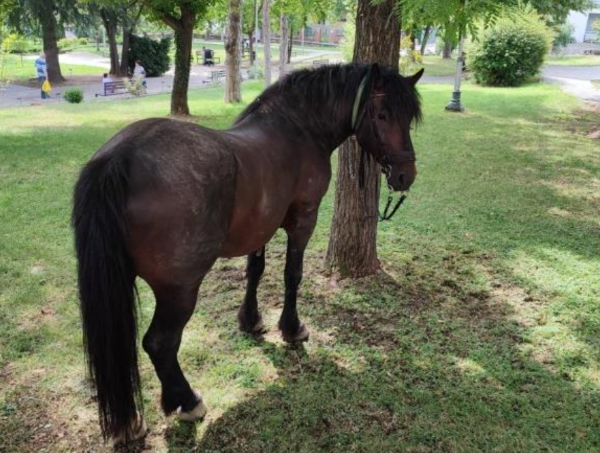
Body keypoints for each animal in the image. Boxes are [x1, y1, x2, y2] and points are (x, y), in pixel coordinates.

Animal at [72, 61, 424, 442]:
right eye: (383, 114)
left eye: (408, 118)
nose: (405, 175)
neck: (298, 128)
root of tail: (119, 158)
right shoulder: (303, 219)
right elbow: (292, 275)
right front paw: (292, 328)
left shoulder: (260, 227)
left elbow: (254, 272)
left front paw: (251, 320)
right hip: (178, 290)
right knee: (159, 343)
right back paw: (187, 402)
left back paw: (131, 420)